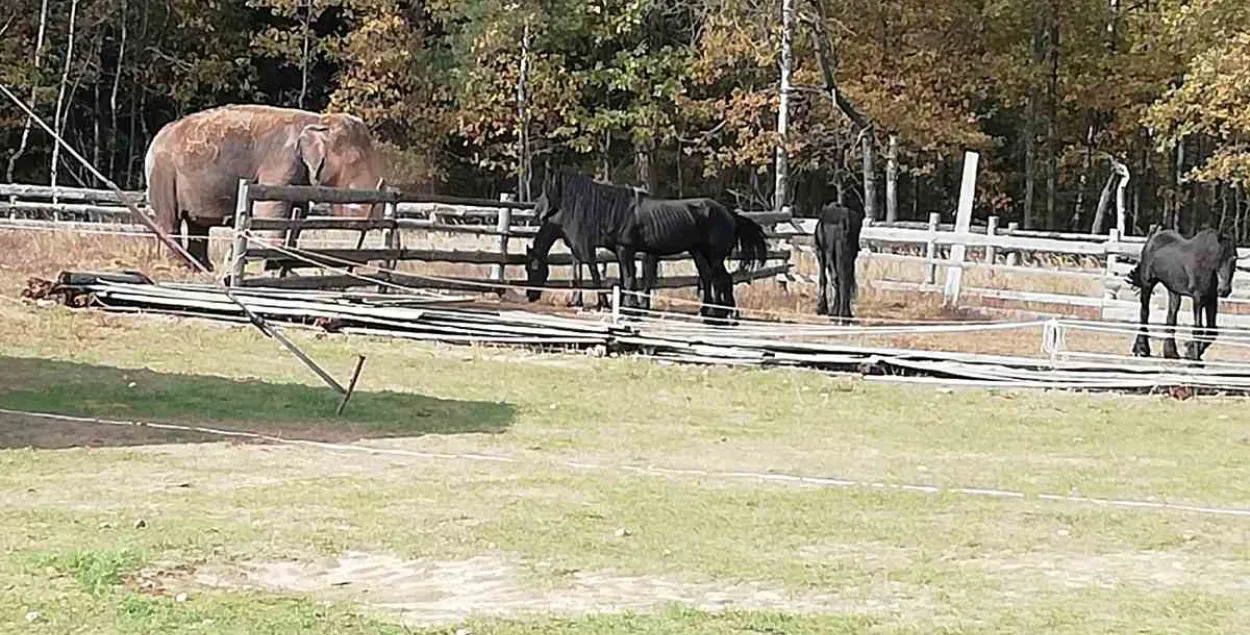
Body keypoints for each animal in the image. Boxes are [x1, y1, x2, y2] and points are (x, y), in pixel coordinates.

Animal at [144, 103, 385, 270]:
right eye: (354, 161)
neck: (317, 119)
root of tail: (157, 138)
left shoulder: (300, 175)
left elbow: (298, 212)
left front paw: (286, 261)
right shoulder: (281, 161)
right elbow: (270, 208)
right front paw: (272, 262)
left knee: (197, 225)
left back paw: (201, 267)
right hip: (163, 172)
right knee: (170, 220)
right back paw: (180, 266)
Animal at [520, 168, 770, 320]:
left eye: (533, 267)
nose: (530, 295)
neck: (610, 210)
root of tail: (730, 213)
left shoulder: (624, 250)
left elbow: (625, 278)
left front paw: (626, 308)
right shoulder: (619, 252)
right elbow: (623, 279)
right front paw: (625, 305)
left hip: (715, 256)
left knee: (723, 279)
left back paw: (728, 314)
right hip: (699, 254)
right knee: (710, 278)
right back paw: (707, 311)